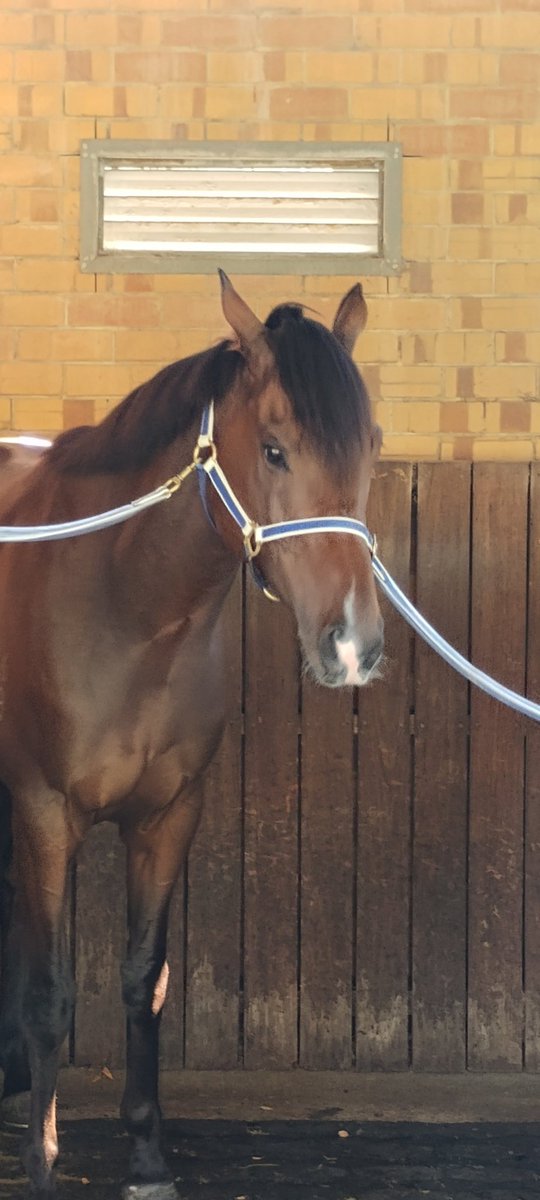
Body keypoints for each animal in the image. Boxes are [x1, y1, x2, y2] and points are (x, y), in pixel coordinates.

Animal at [0, 273, 384, 1199]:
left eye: (371, 448)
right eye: (275, 450)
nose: (354, 645)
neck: (126, 606)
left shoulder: (170, 815)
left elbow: (145, 983)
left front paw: (145, 1158)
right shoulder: (43, 812)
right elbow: (50, 991)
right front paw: (43, 1161)